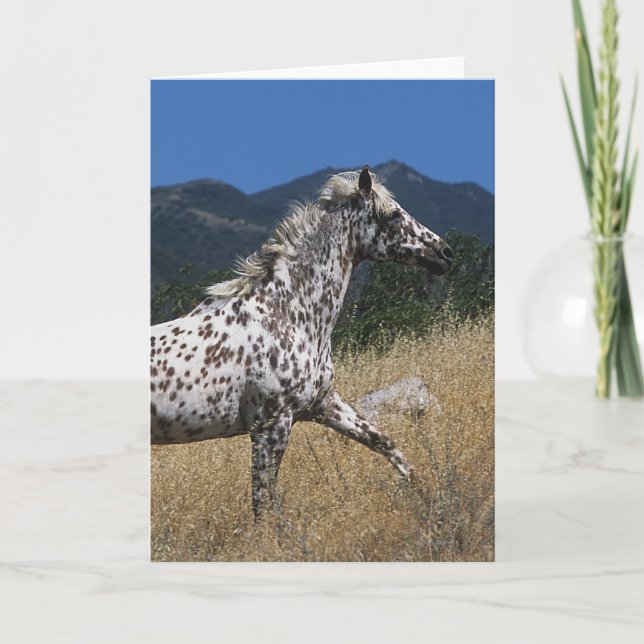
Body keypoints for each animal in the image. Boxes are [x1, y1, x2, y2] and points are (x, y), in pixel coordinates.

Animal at [151, 166, 453, 517]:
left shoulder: (324, 404)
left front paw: (432, 497)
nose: (445, 253)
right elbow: (263, 503)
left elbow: (384, 441)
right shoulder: (271, 427)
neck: (287, 313)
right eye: (392, 215)